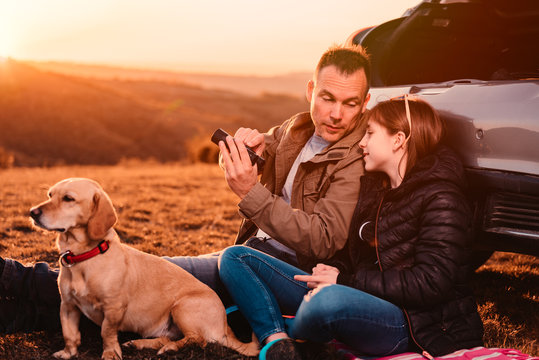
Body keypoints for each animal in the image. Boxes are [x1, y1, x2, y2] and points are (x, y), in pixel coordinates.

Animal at [30, 179, 260, 360]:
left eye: (68, 198)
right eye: (50, 195)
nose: (32, 212)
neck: (84, 256)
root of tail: (224, 328)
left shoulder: (113, 308)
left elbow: (106, 332)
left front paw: (110, 353)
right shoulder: (67, 306)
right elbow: (70, 334)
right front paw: (68, 353)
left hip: (182, 307)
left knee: (197, 339)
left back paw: (170, 348)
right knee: (168, 337)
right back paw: (141, 344)